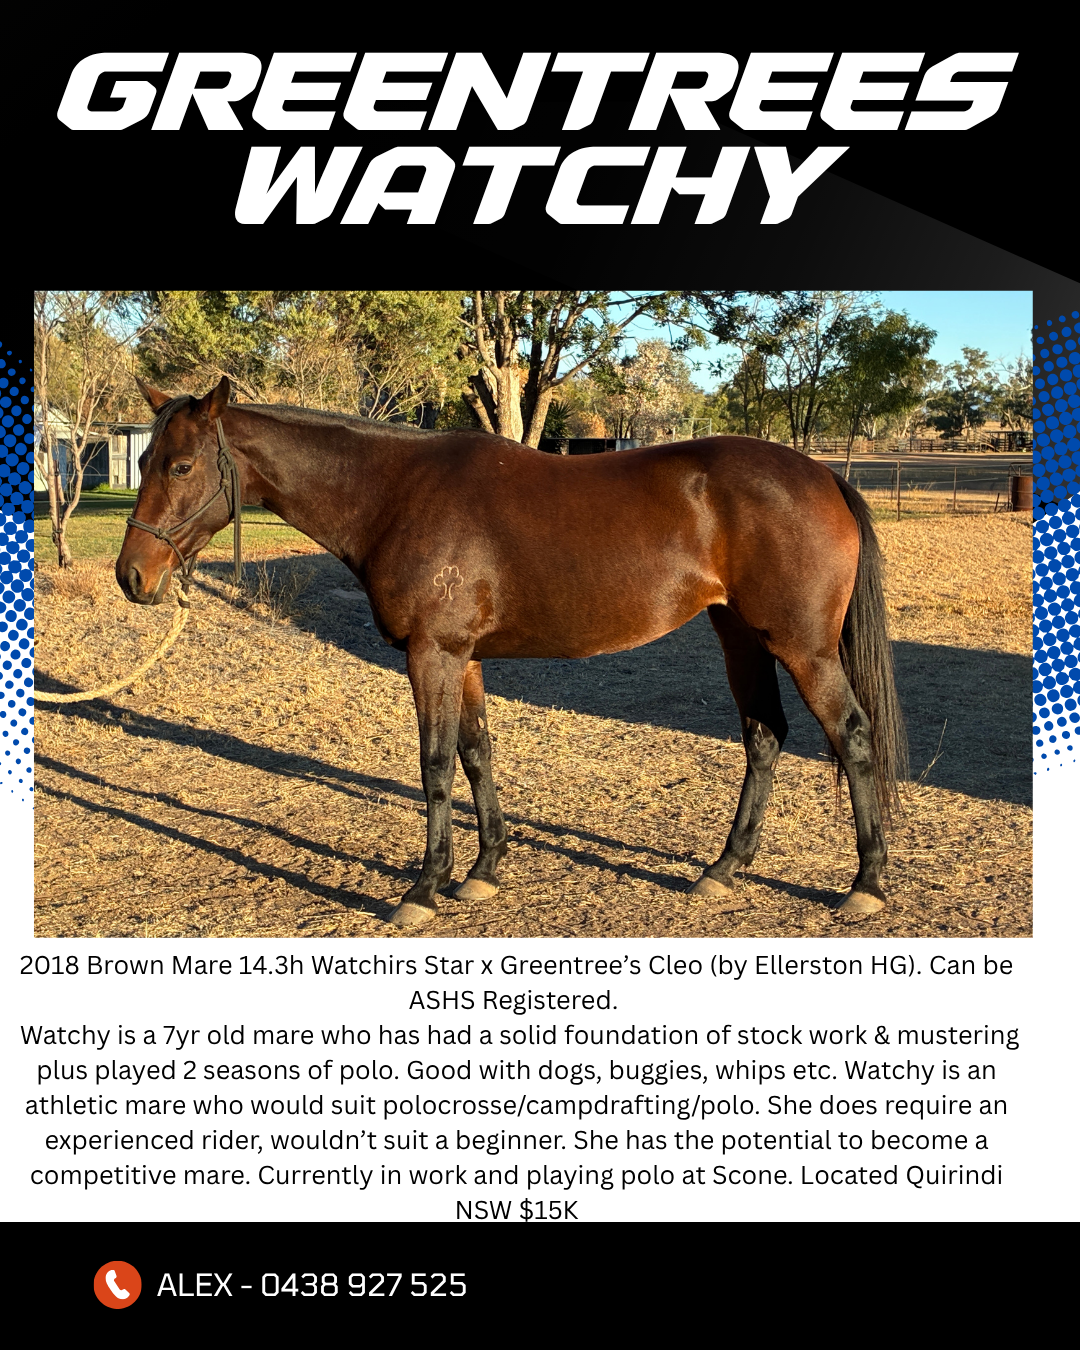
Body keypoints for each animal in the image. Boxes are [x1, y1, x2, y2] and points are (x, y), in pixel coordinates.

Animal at [116, 376, 907, 929]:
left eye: (181, 467)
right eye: (145, 458)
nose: (133, 577)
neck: (395, 493)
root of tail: (823, 475)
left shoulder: (432, 654)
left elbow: (435, 765)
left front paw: (424, 888)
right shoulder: (461, 657)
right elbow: (476, 753)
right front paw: (485, 870)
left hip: (802, 648)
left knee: (852, 735)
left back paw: (866, 884)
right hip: (740, 636)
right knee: (764, 736)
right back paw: (724, 868)